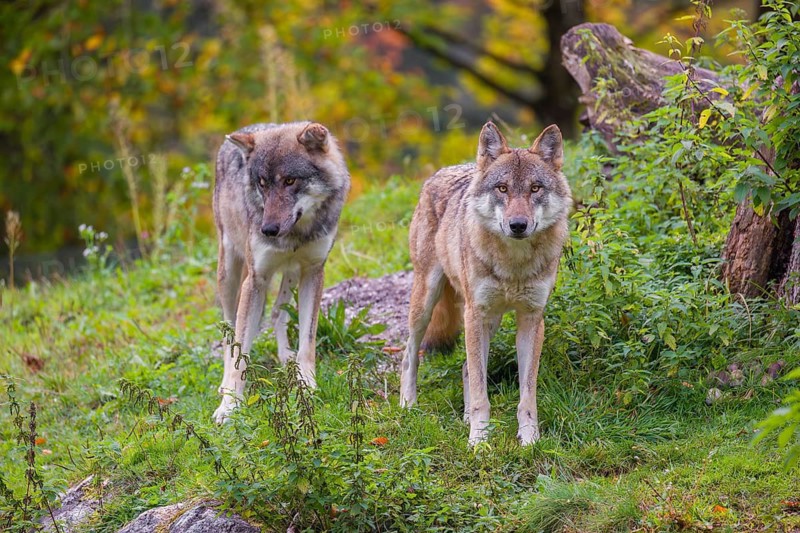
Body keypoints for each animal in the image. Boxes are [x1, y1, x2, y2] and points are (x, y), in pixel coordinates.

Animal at [212, 121, 350, 424]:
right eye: (262, 184)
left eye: (289, 181)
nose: (267, 230)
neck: (296, 234)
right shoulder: (256, 280)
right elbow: (239, 352)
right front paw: (230, 404)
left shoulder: (314, 271)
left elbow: (307, 340)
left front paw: (306, 382)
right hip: (229, 275)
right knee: (229, 331)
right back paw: (224, 382)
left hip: (291, 274)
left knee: (277, 313)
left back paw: (286, 356)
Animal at [399, 121, 571, 446]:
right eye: (502, 188)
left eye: (535, 188)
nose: (518, 225)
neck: (513, 266)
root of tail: (441, 172)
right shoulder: (475, 314)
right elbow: (482, 393)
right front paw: (478, 442)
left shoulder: (531, 319)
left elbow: (526, 395)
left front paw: (529, 440)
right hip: (427, 303)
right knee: (409, 354)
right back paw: (407, 405)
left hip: (488, 320)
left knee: (466, 366)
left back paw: (465, 417)